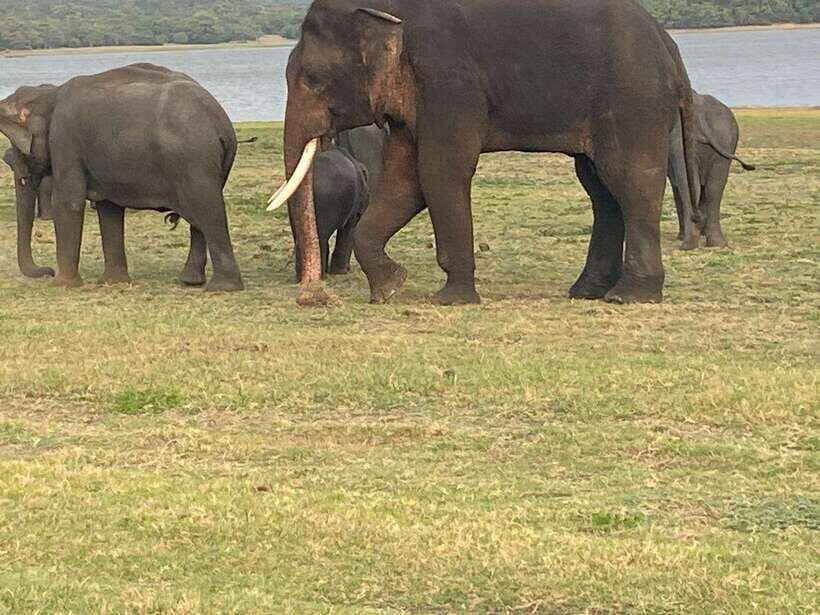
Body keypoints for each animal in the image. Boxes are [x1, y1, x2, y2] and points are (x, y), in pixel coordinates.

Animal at [269, 0, 702, 306]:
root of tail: (669, 44)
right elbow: (406, 181)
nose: (313, 297)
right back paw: (586, 291)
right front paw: (390, 289)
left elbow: (441, 172)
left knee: (630, 183)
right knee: (601, 190)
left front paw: (450, 300)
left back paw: (630, 296)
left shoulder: (449, 80)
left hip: (634, 100)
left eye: (312, 79)